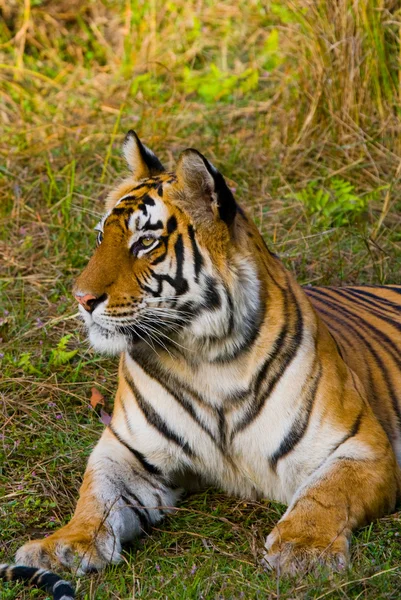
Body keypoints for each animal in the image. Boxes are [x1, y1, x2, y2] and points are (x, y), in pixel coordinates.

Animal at [3, 130, 400, 596]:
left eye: (145, 242)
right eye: (102, 237)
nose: (81, 299)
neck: (206, 358)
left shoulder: (360, 447)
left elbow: (325, 495)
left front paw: (303, 549)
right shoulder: (128, 451)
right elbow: (95, 497)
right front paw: (64, 545)